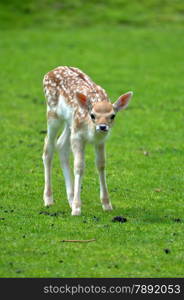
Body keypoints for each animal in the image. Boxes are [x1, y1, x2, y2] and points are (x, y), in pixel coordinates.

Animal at [42, 65, 133, 216]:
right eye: (92, 115)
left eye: (112, 115)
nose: (102, 127)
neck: (91, 133)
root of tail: (50, 72)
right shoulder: (78, 136)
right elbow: (79, 166)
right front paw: (77, 209)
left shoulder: (100, 141)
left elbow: (101, 165)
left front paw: (107, 204)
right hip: (53, 113)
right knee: (48, 148)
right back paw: (49, 199)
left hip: (70, 123)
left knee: (61, 145)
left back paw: (70, 198)